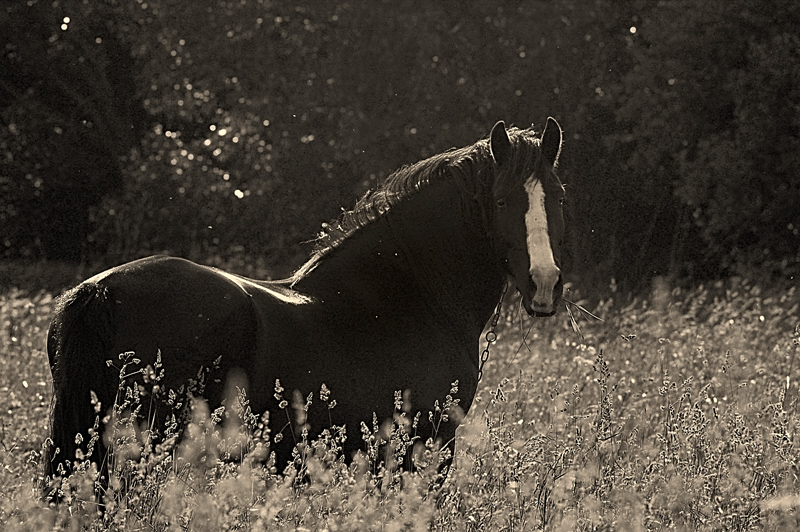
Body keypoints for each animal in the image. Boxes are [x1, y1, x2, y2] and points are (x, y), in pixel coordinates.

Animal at [42, 118, 565, 499]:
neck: (408, 292)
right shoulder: (424, 448)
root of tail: (99, 292)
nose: (545, 284)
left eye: (557, 197)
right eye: (502, 200)